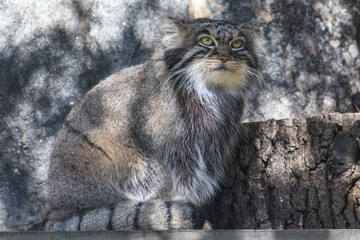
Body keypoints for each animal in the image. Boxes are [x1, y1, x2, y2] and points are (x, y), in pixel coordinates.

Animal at [45, 17, 264, 231]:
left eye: (237, 43)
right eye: (207, 41)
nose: (225, 57)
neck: (212, 93)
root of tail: (57, 212)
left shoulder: (211, 146)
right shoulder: (169, 152)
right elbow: (178, 183)